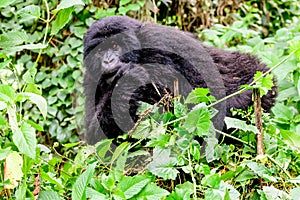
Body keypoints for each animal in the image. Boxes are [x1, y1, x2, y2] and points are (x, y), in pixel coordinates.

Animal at [83, 15, 278, 144]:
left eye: (115, 45)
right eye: (99, 51)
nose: (108, 61)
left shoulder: (159, 40)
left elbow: (208, 96)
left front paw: (128, 79)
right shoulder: (91, 80)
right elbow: (96, 138)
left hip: (261, 82)